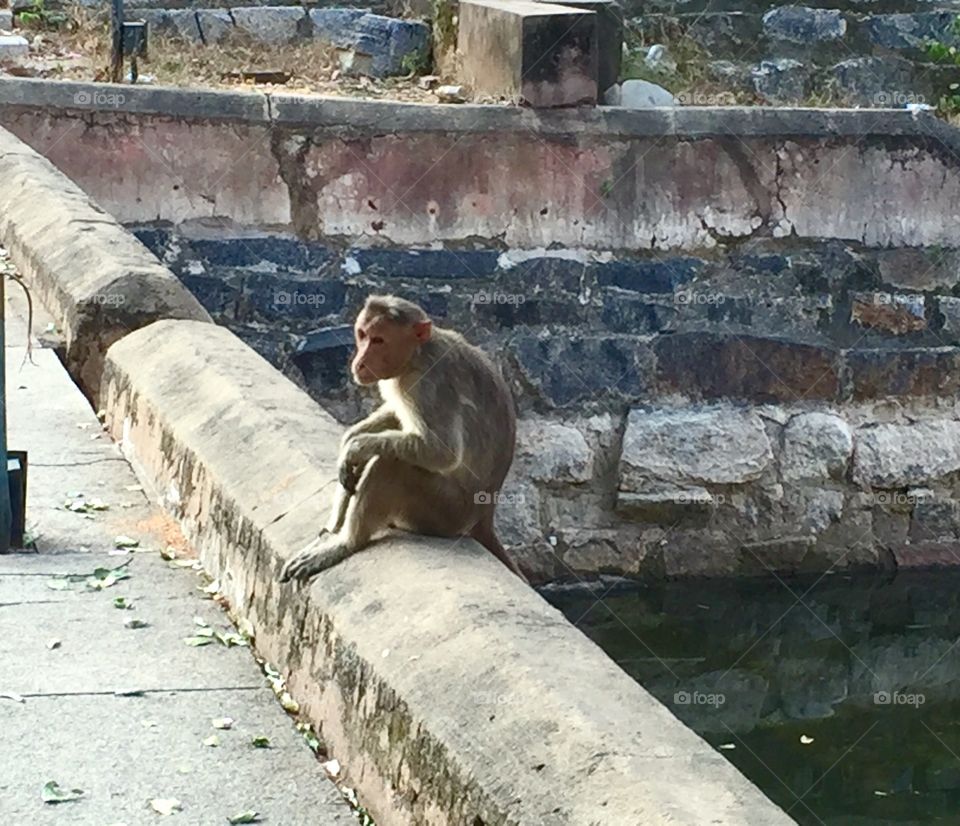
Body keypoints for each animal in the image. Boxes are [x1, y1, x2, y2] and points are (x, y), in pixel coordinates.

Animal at [282, 292, 528, 584]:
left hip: (445, 513)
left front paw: (355, 447)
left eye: (379, 340)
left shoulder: (428, 385)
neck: (416, 356)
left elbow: (442, 452)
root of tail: (484, 514)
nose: (359, 361)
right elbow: (395, 415)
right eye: (362, 334)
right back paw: (334, 529)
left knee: (391, 465)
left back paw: (347, 542)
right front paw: (350, 440)